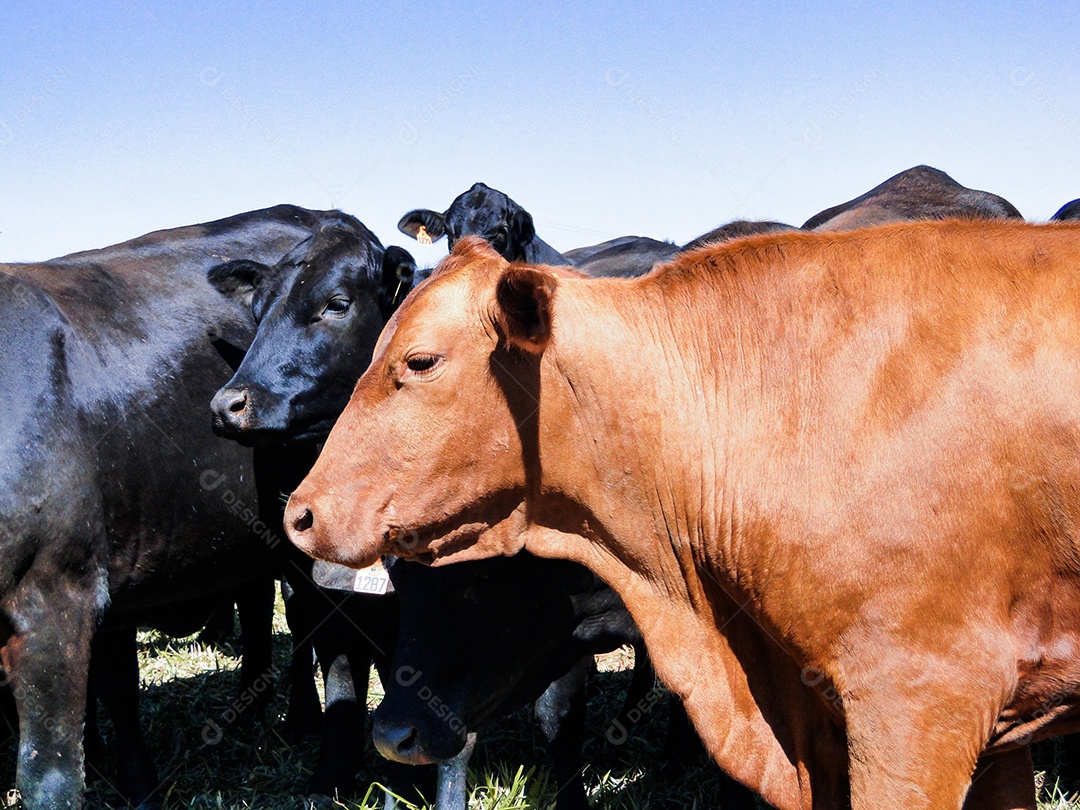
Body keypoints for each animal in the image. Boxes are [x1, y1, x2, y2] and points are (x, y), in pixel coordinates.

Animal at [0, 204, 332, 810]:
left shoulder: (54, 598)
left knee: (303, 615)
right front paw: (133, 780)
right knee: (257, 604)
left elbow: (49, 776)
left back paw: (301, 720)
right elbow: (117, 686)